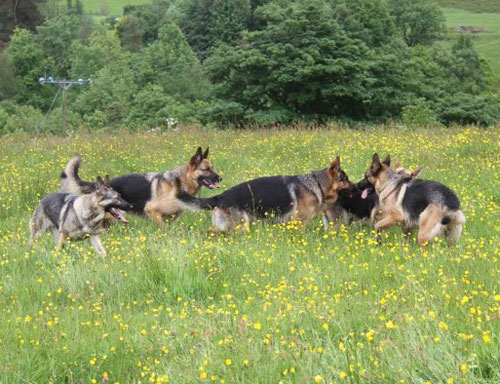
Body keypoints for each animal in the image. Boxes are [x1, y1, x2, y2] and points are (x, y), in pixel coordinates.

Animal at [60, 146, 221, 225]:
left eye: (212, 167)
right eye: (207, 169)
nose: (221, 178)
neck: (180, 182)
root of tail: (97, 185)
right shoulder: (152, 211)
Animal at [176, 155, 356, 232]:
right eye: (345, 179)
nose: (357, 187)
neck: (317, 184)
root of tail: (220, 197)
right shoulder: (299, 222)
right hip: (239, 225)